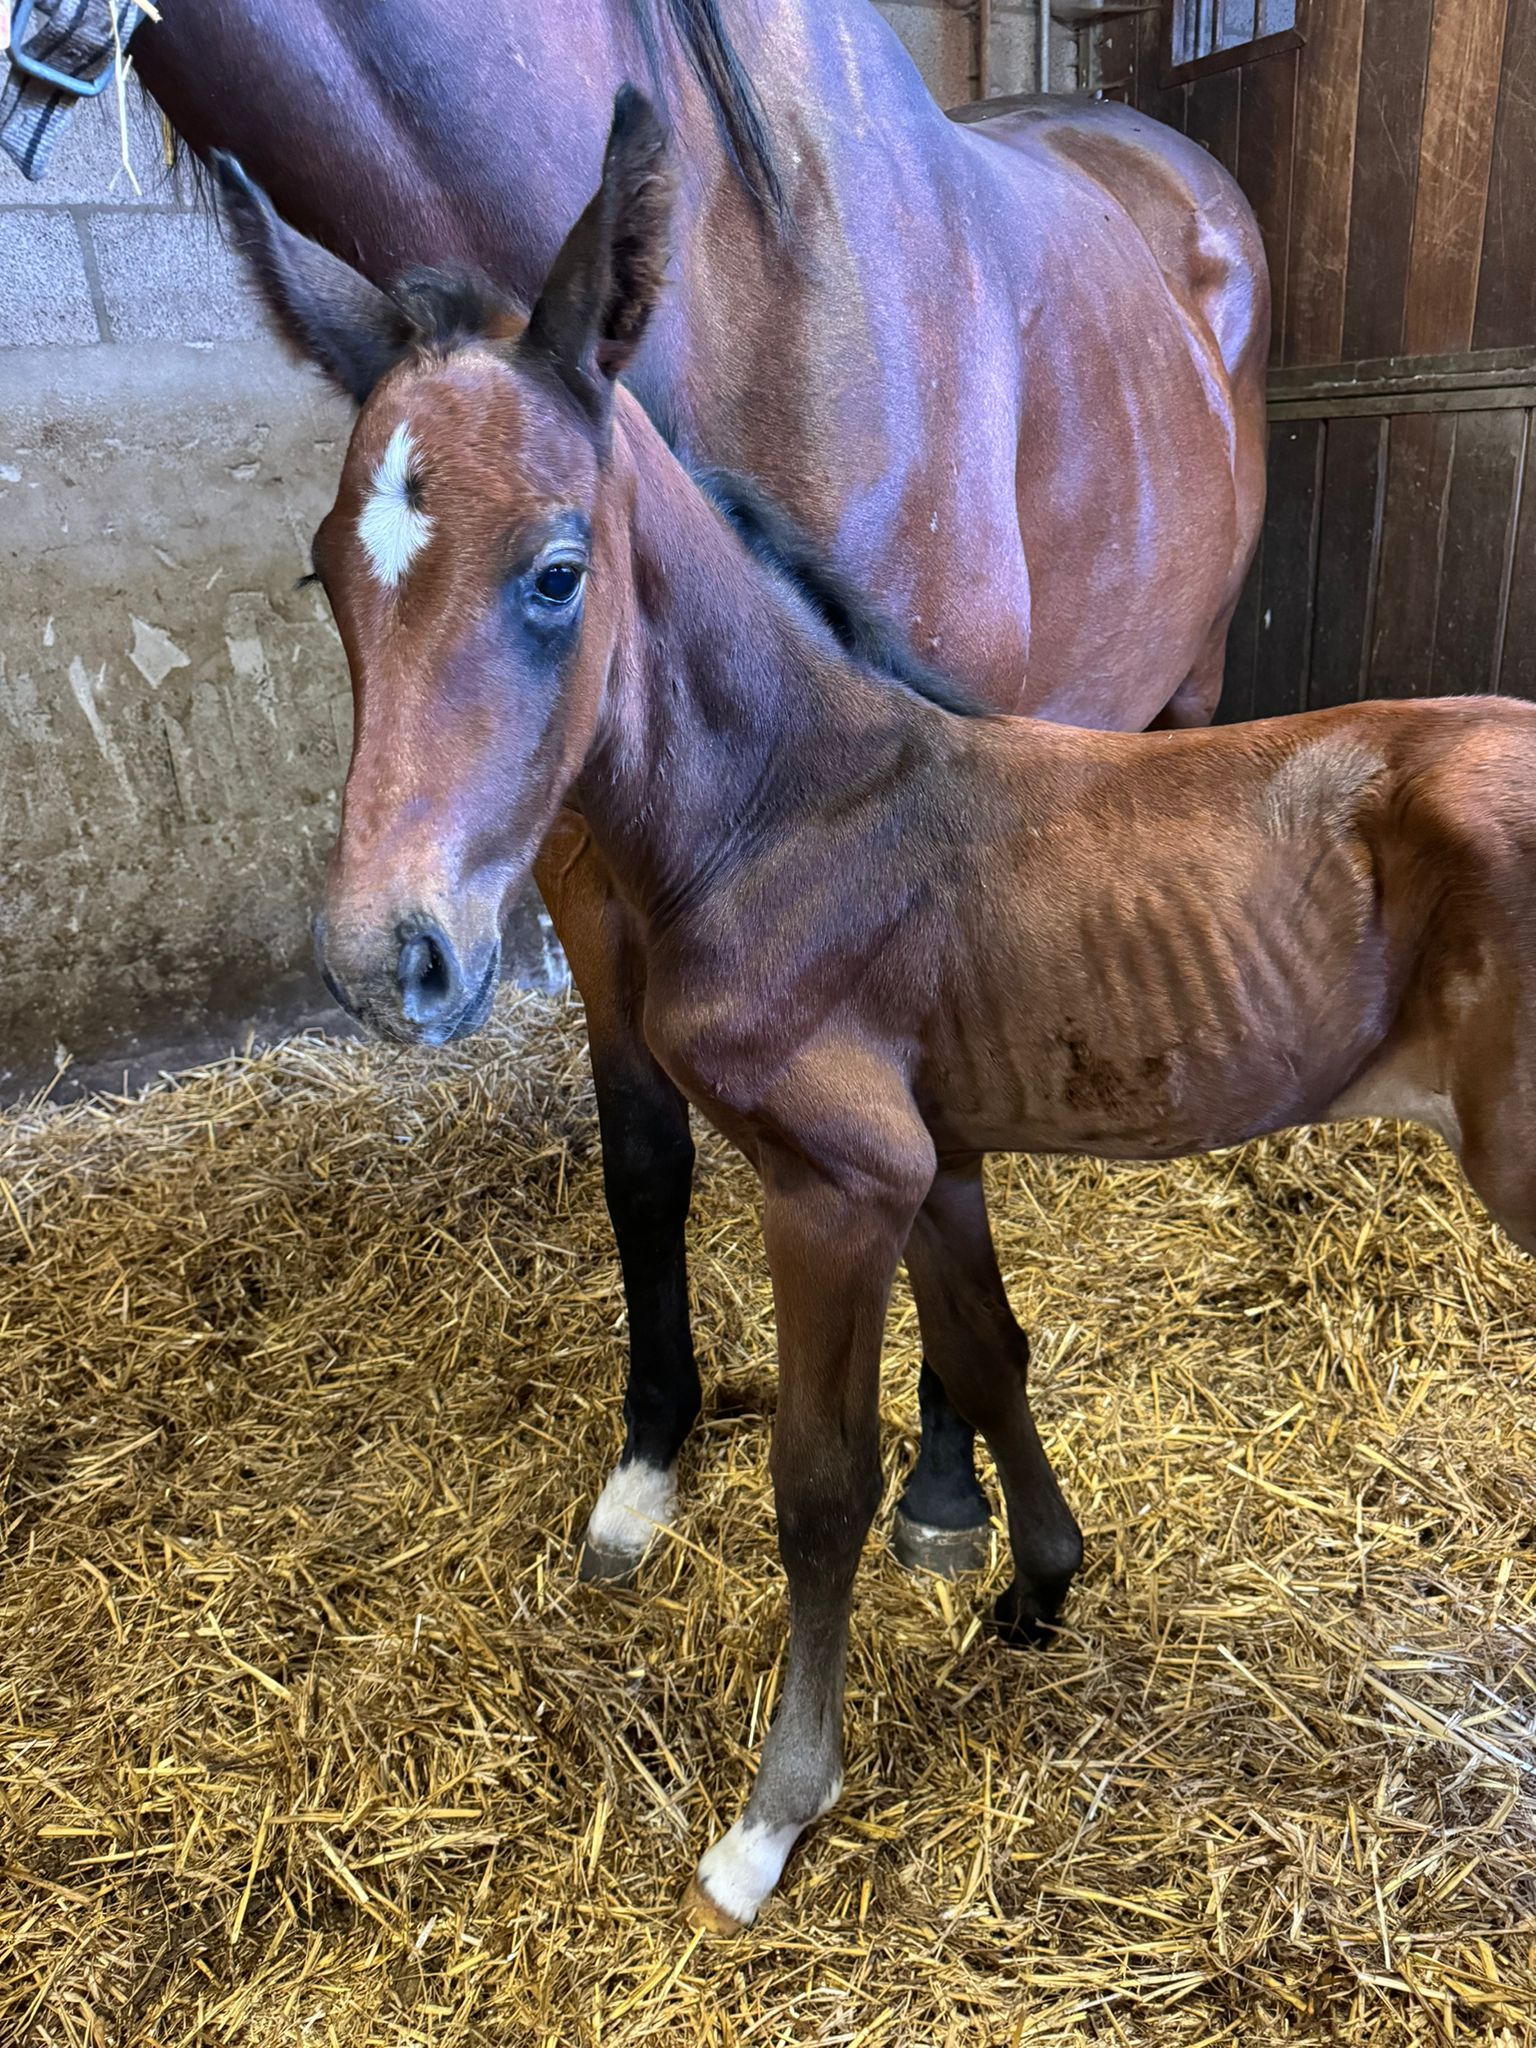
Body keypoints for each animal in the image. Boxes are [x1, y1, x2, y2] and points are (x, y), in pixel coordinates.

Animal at [128, 0, 1269, 1580]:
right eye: (325, 577)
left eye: (558, 573)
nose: (380, 960)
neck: (753, 277)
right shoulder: (587, 872)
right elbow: (645, 1156)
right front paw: (648, 1457)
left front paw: (943, 1489)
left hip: (1191, 676)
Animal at [214, 95, 1536, 1929]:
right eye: (331, 573)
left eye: (555, 573)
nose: (383, 955)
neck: (795, 809)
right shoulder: (937, 1152)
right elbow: (987, 1352)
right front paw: (1038, 1581)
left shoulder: (833, 1179)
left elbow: (820, 1483)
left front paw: (774, 1815)